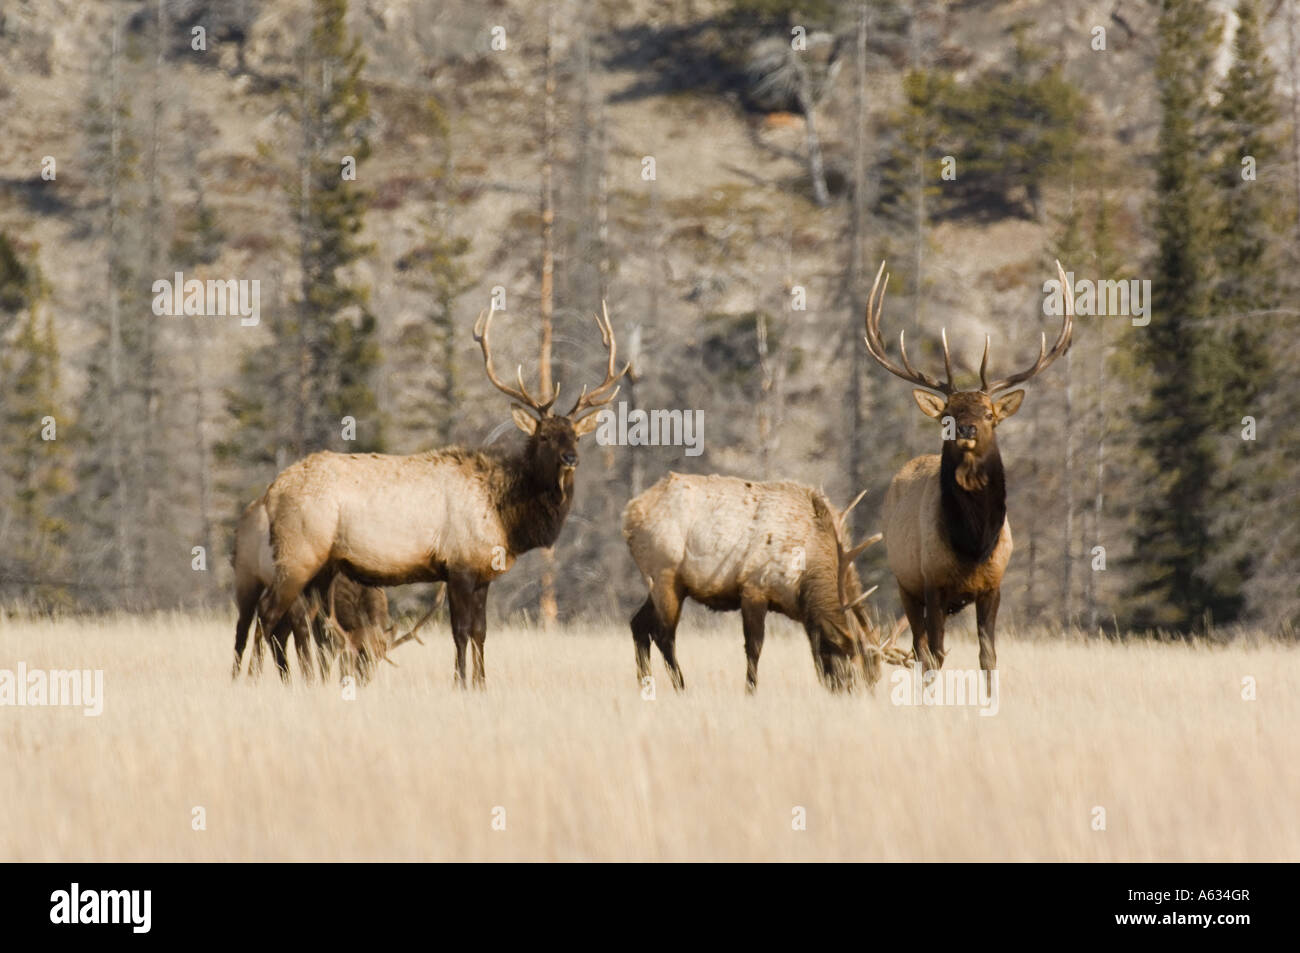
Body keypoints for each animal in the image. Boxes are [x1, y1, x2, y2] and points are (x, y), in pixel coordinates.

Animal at [250, 302, 626, 686]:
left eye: (575, 436)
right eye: (545, 436)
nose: (571, 459)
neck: (505, 517)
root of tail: (273, 490)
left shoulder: (483, 573)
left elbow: (480, 632)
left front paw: (480, 683)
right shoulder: (458, 565)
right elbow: (460, 632)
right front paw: (460, 682)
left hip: (322, 567)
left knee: (309, 624)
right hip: (298, 553)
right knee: (269, 614)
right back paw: (252, 678)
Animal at [618, 473, 904, 691]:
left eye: (875, 679)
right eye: (853, 672)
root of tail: (630, 513)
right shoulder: (754, 588)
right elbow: (754, 648)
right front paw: (750, 691)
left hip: (662, 584)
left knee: (638, 624)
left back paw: (645, 685)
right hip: (665, 575)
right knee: (663, 635)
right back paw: (681, 687)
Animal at [863, 262, 1076, 676]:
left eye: (990, 413)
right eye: (947, 413)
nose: (966, 430)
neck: (973, 544)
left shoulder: (993, 586)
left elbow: (987, 656)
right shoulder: (931, 582)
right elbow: (934, 654)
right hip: (904, 581)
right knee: (919, 649)